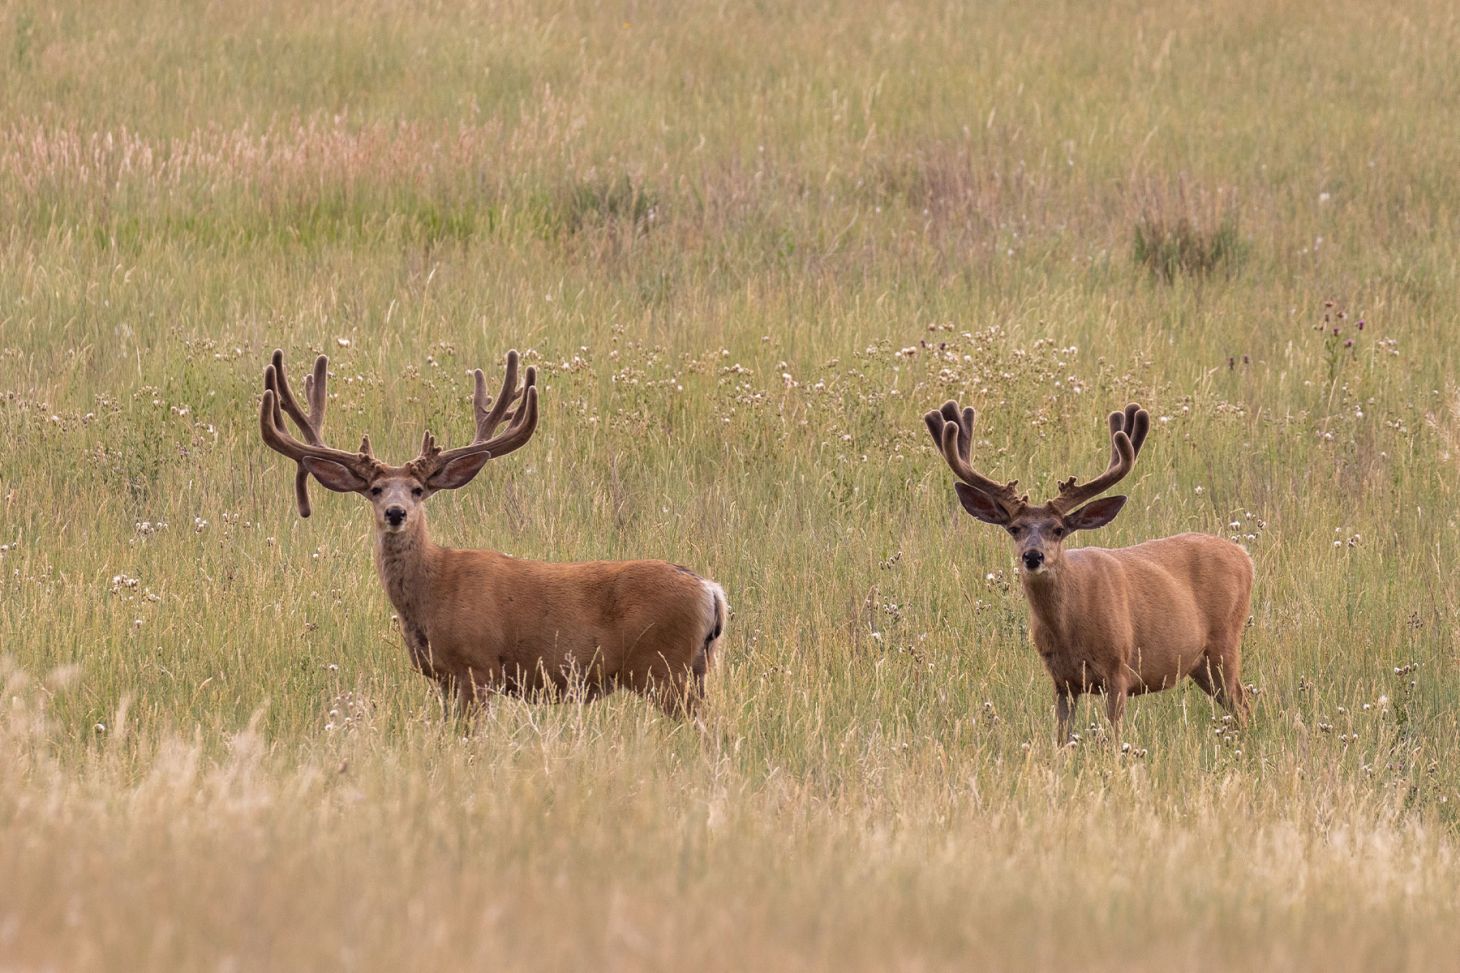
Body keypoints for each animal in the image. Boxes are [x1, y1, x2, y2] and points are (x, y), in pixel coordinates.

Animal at [258, 348, 727, 717]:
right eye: (375, 489)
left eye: (417, 490)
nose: (395, 512)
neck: (432, 593)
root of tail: (710, 590)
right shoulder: (443, 678)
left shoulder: (476, 666)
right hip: (695, 669)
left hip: (665, 668)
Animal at [924, 401, 1254, 745]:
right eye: (1014, 528)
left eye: (1058, 529)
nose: (1033, 556)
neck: (1069, 628)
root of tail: (1244, 556)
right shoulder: (1062, 681)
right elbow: (1062, 737)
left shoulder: (1118, 669)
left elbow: (1114, 735)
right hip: (1200, 664)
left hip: (1225, 641)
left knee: (1243, 703)